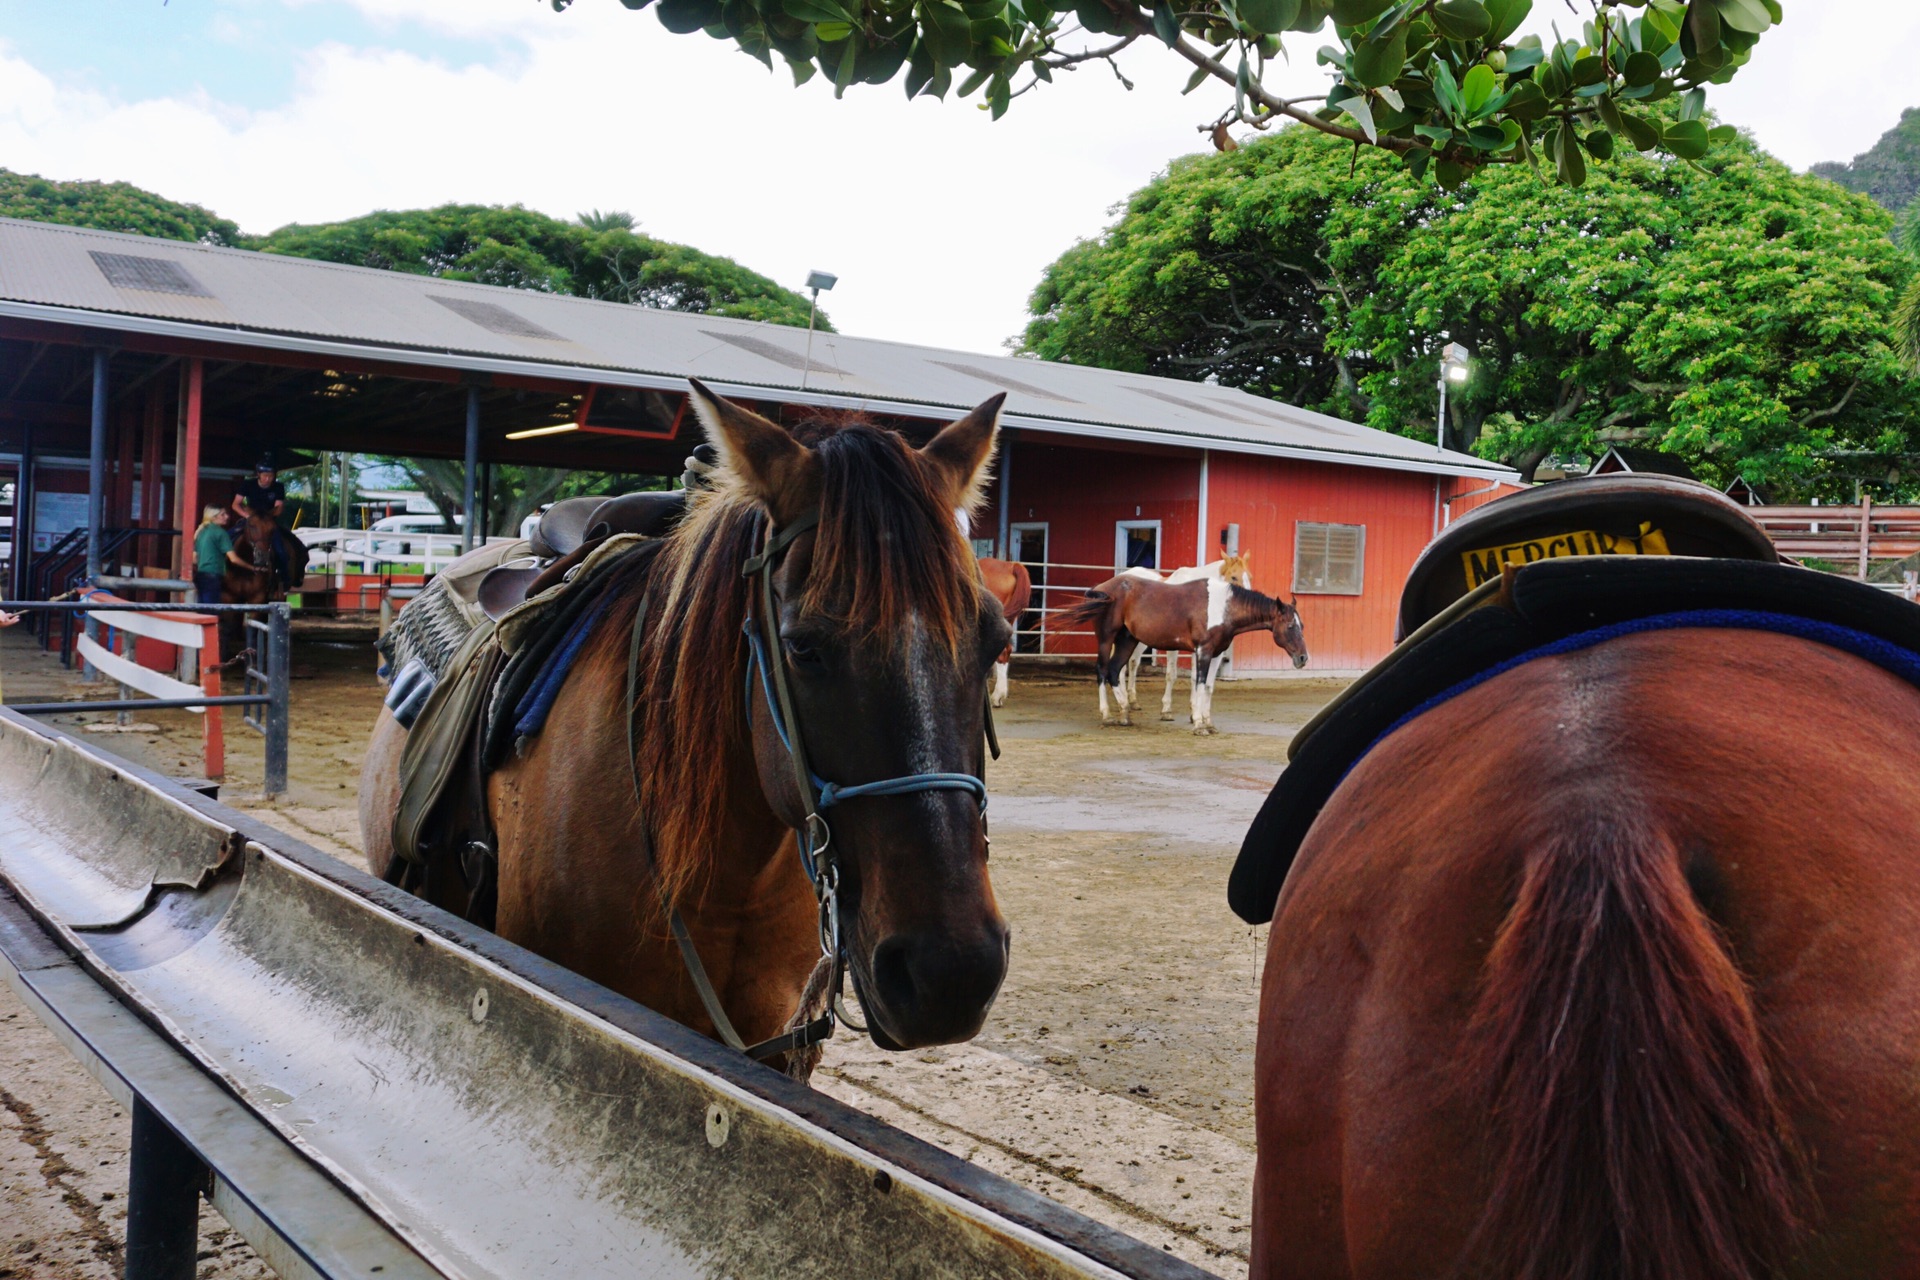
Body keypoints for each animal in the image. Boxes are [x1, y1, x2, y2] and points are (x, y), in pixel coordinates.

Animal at [1052, 575, 1305, 736]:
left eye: (1301, 625)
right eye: (1291, 626)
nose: (1303, 658)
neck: (1223, 608)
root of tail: (1102, 588)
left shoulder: (1216, 654)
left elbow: (1209, 687)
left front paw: (1209, 723)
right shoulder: (1203, 650)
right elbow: (1200, 684)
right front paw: (1200, 725)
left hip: (1127, 639)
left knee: (1114, 671)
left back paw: (1124, 713)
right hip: (1107, 638)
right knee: (1102, 670)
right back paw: (1107, 715)